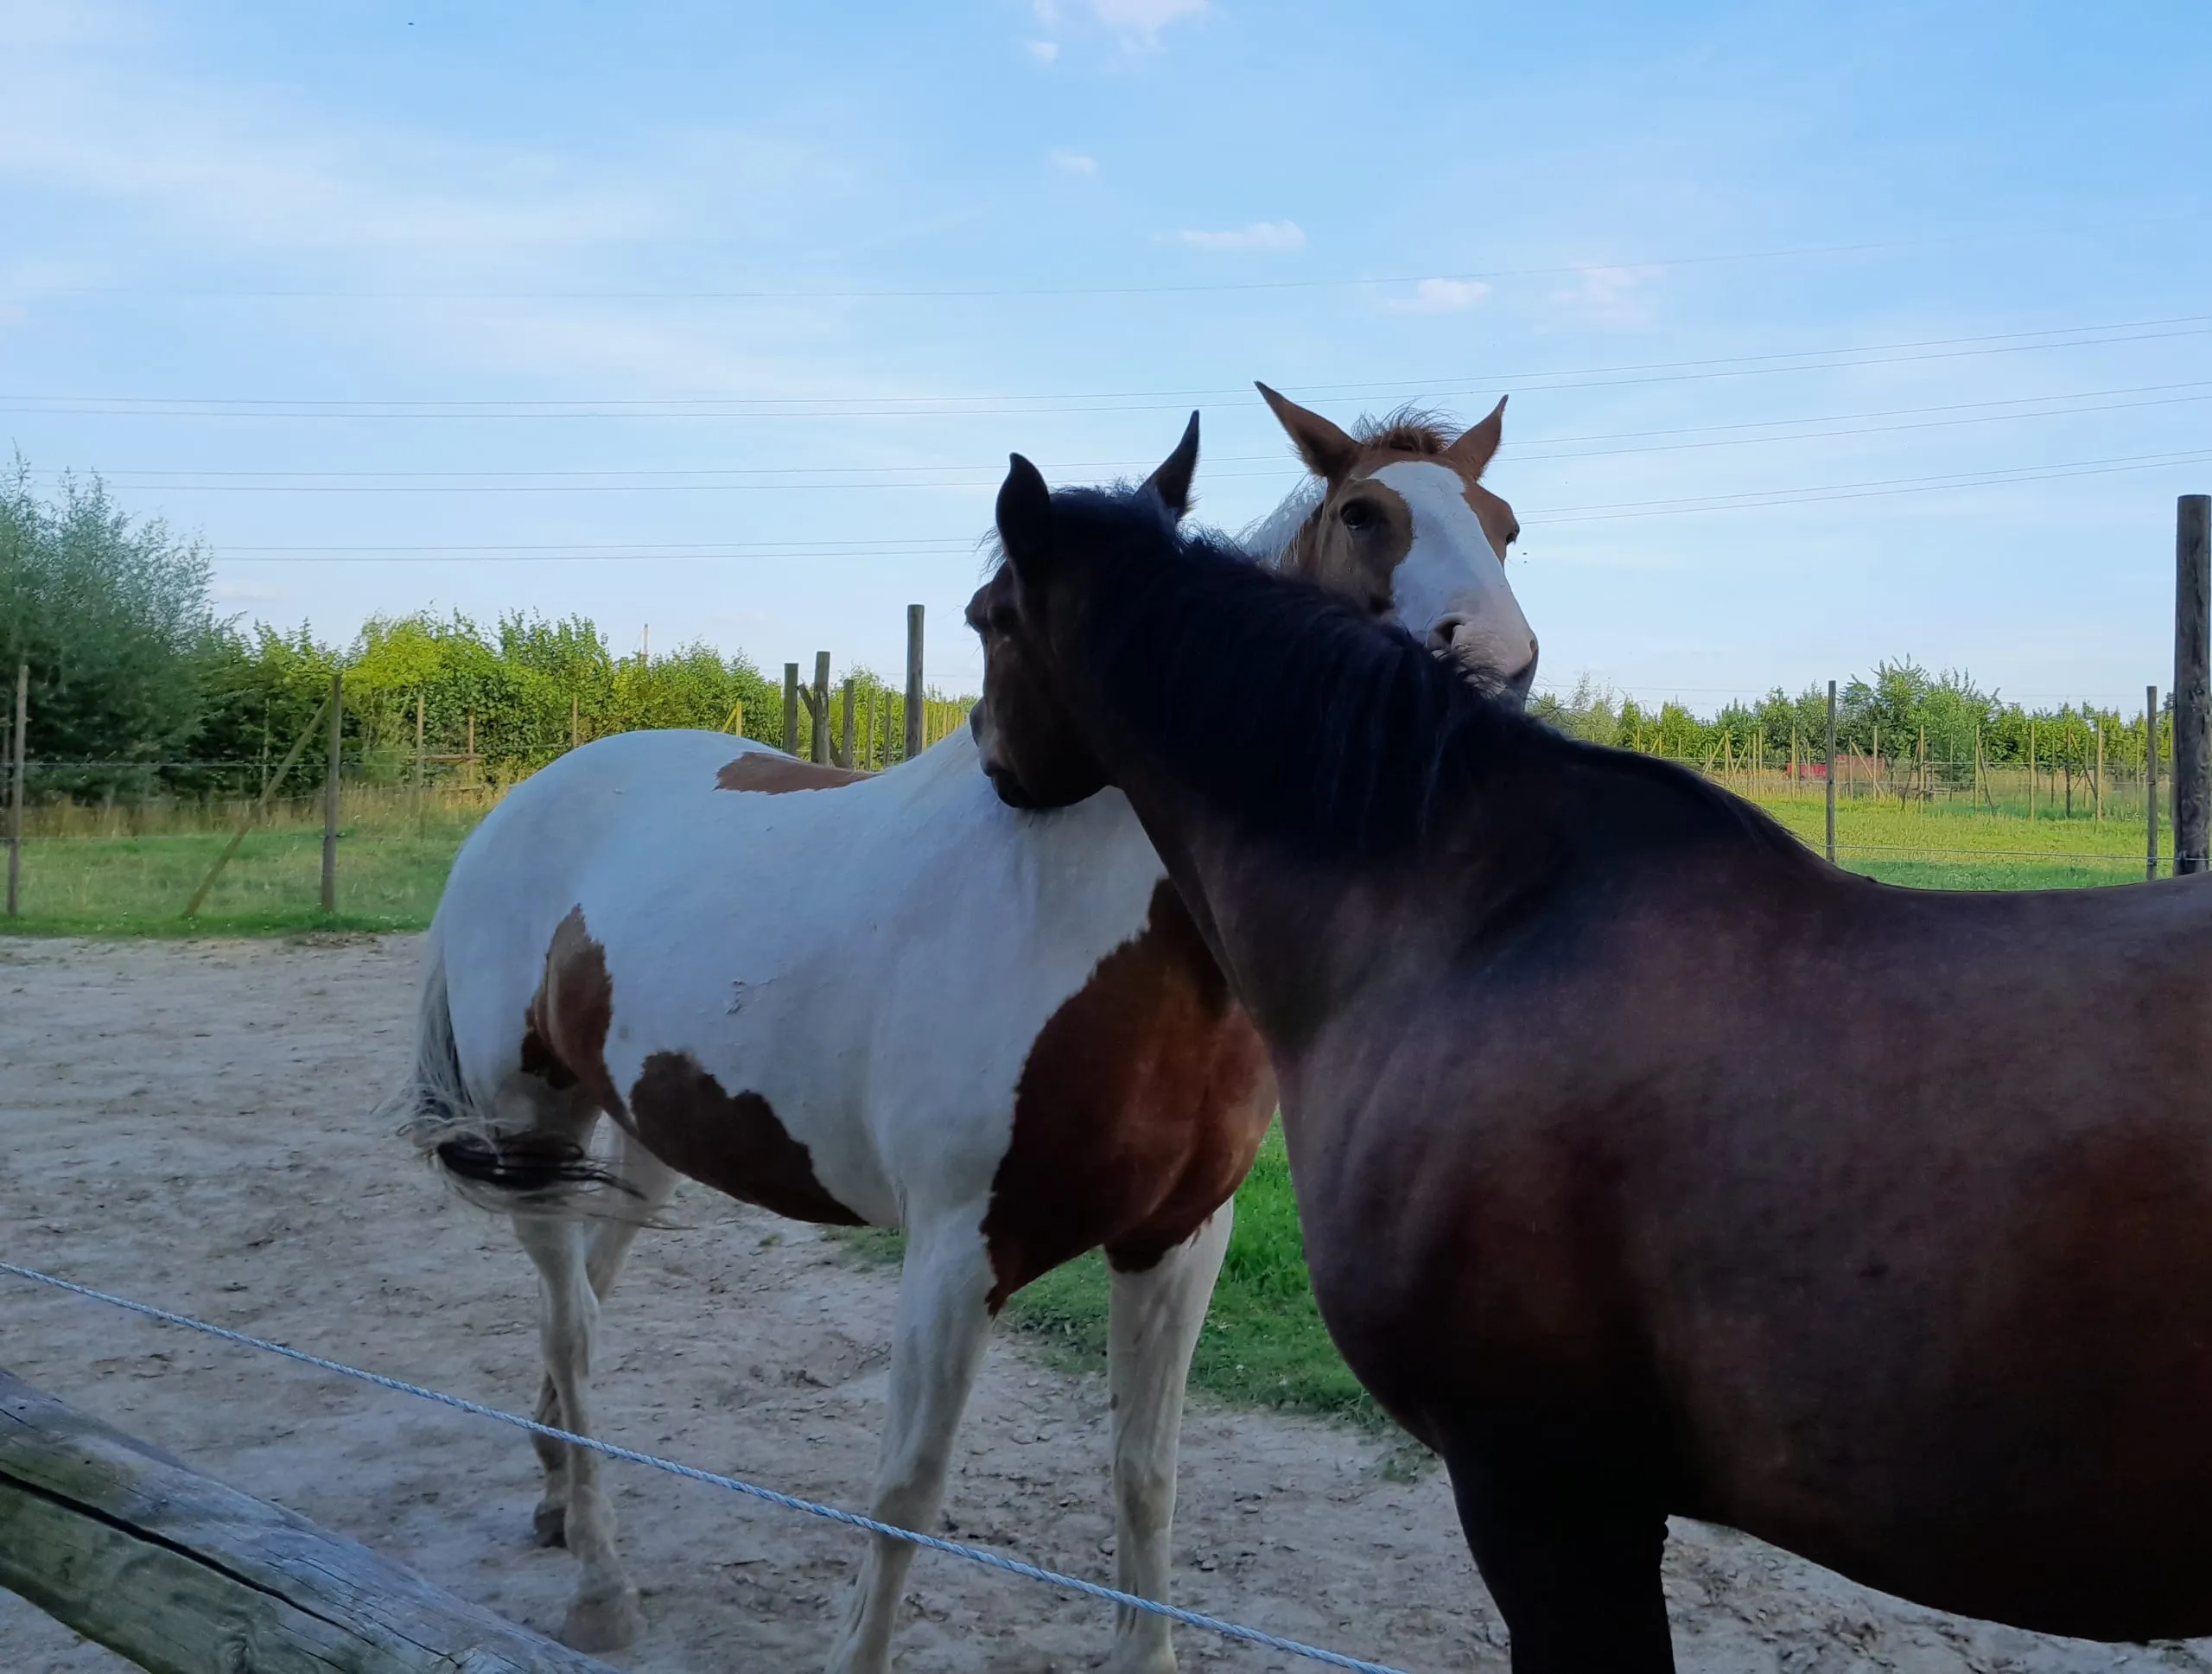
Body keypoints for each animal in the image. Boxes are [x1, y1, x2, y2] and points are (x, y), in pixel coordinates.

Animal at [390, 387, 1534, 1673]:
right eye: (1363, 513)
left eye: (1503, 522)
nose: (1500, 667)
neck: (1104, 936)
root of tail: (519, 806)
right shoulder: (953, 1255)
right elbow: (907, 1490)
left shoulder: (1178, 1243)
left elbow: (1145, 1476)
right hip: (532, 1123)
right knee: (573, 1330)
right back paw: (601, 1584)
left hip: (636, 1135)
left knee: (583, 1298)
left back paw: (552, 1490)